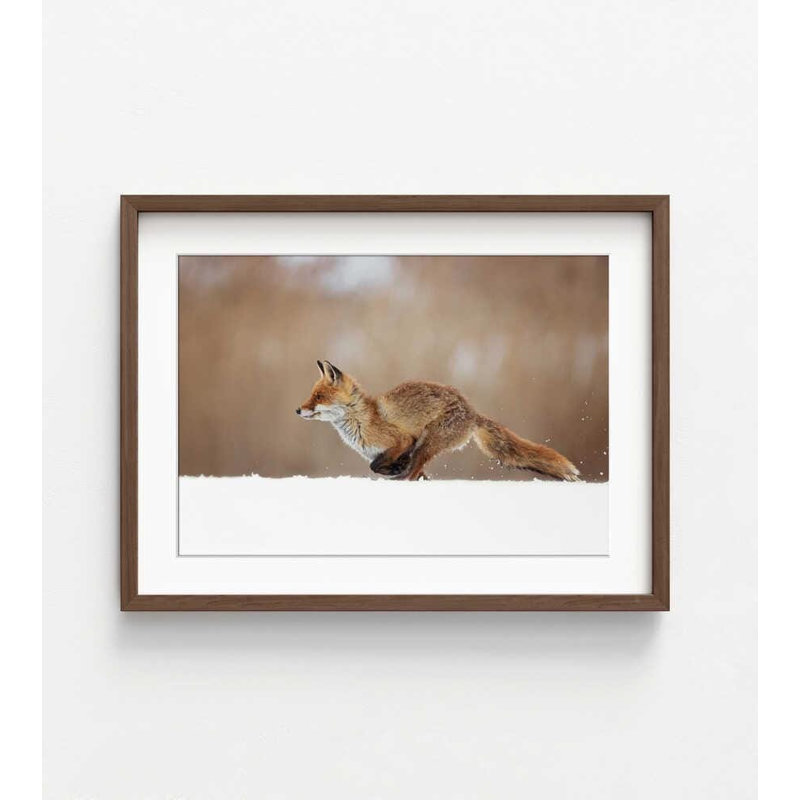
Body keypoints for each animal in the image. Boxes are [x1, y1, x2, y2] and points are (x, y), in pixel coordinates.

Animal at [296, 360, 580, 482]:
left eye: (319, 397)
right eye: (312, 394)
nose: (298, 410)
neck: (361, 420)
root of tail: (472, 411)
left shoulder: (404, 440)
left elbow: (376, 465)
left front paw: (395, 470)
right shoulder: (391, 450)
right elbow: (382, 465)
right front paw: (396, 469)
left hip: (427, 442)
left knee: (414, 470)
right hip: (427, 445)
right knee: (417, 471)